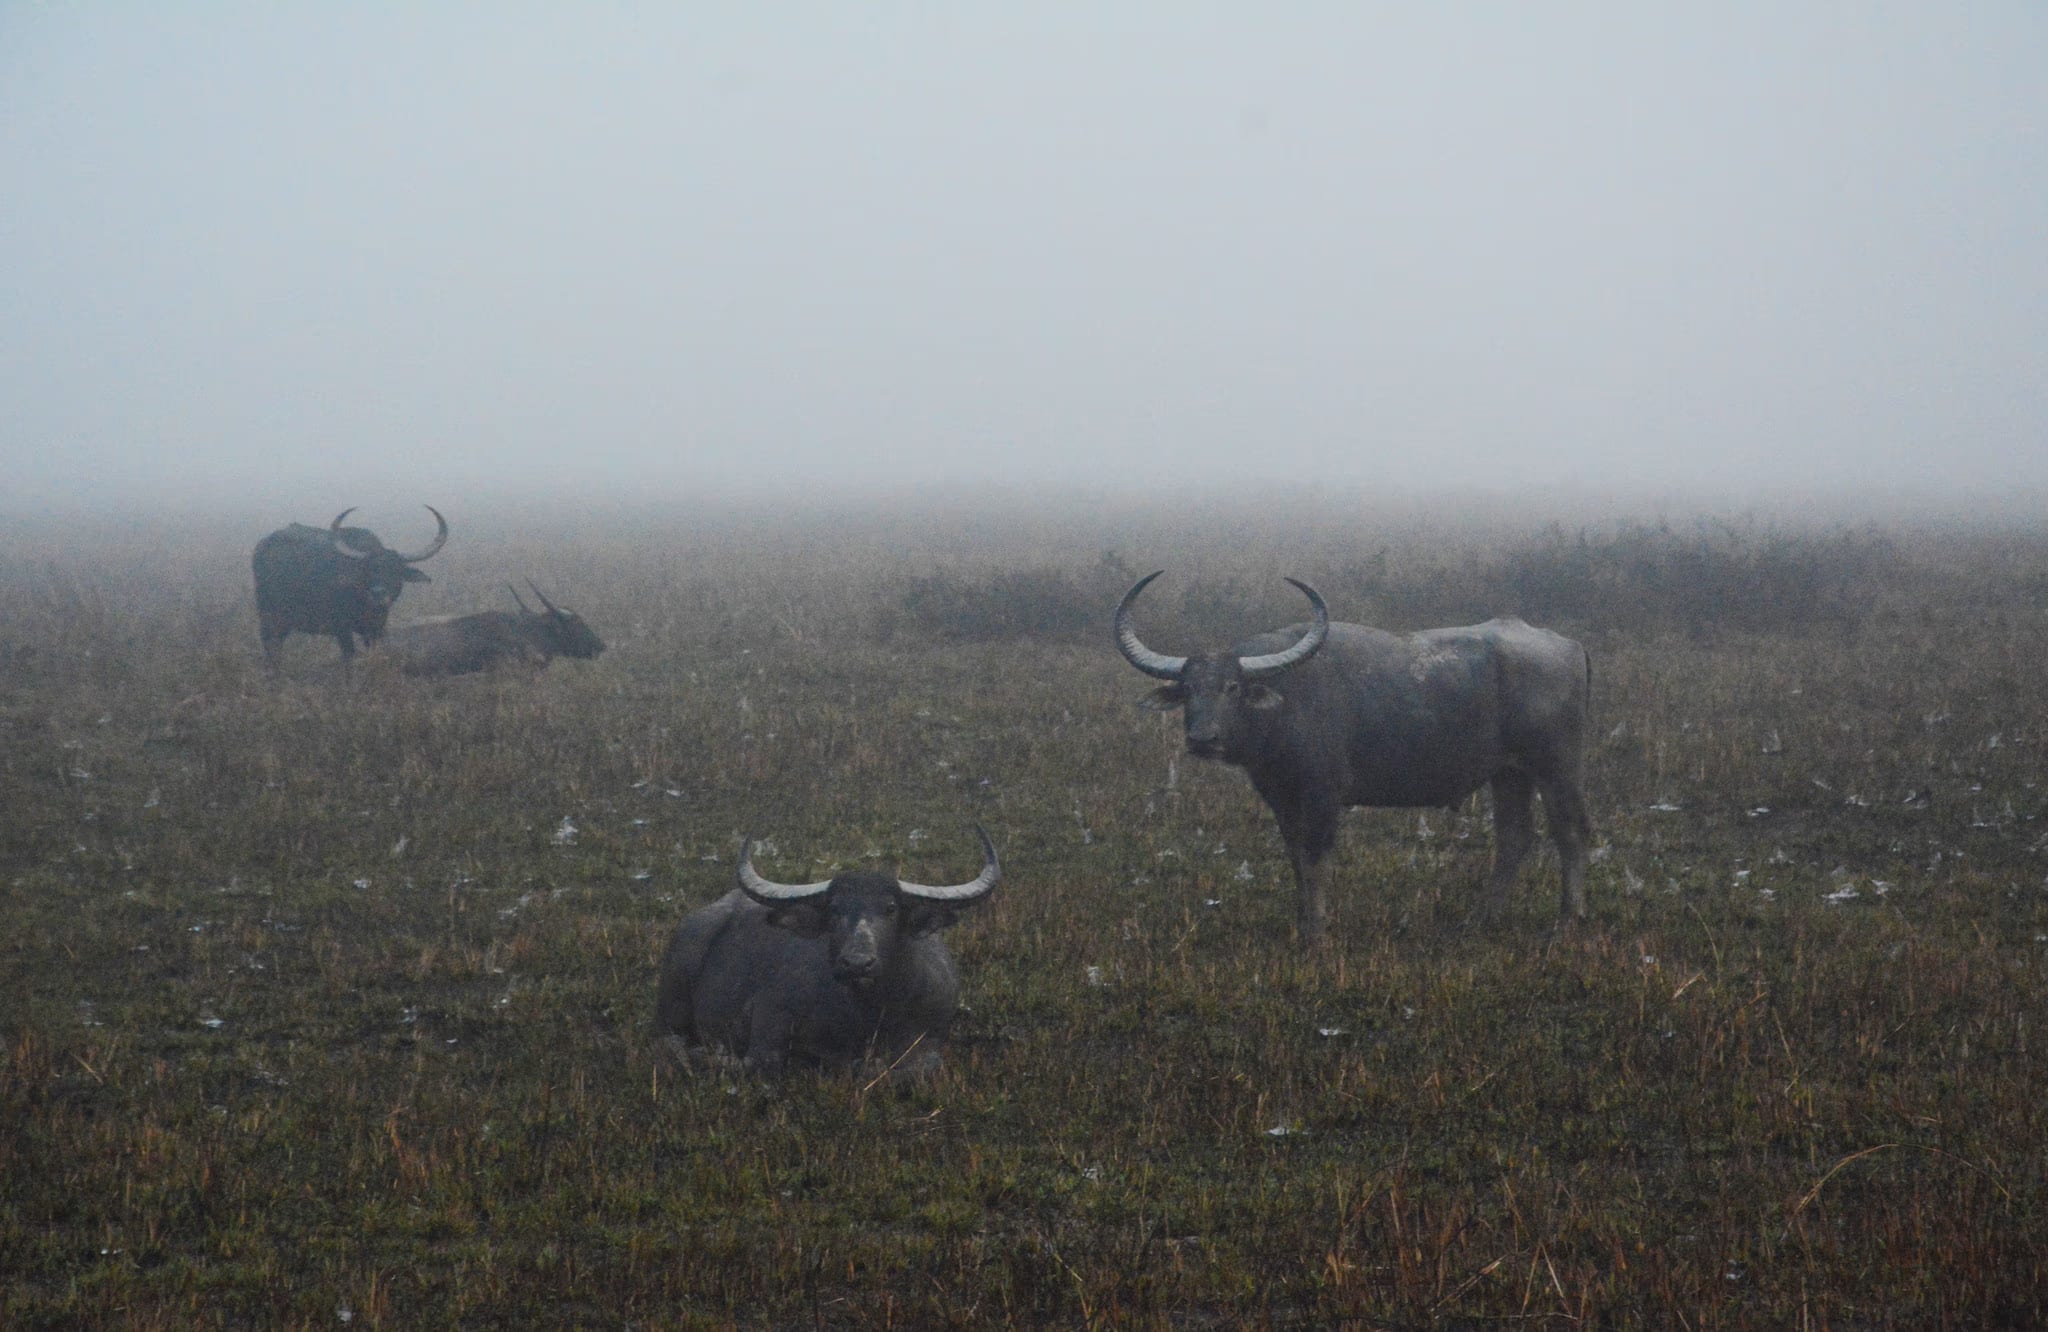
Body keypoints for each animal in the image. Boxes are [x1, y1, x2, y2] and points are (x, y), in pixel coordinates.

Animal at [252, 507, 448, 670]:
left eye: (395, 570)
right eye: (368, 570)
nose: (378, 593)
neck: (364, 605)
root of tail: (263, 545)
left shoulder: (376, 630)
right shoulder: (342, 629)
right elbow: (349, 657)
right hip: (269, 615)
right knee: (270, 646)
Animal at [657, 828, 1000, 1079]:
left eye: (891, 908)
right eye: (834, 909)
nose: (857, 964)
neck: (871, 1014)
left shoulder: (931, 1035)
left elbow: (912, 1070)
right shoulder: (770, 1010)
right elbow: (762, 1060)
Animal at [1115, 572, 1591, 944]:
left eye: (1232, 687)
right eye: (1188, 688)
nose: (1202, 738)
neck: (1285, 702)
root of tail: (1570, 648)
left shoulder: (1323, 795)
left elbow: (1316, 858)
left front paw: (1316, 934)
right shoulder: (1282, 799)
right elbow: (1295, 857)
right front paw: (1301, 921)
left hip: (1557, 766)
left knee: (1571, 832)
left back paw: (1568, 921)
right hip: (1509, 772)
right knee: (1514, 837)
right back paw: (1480, 918)